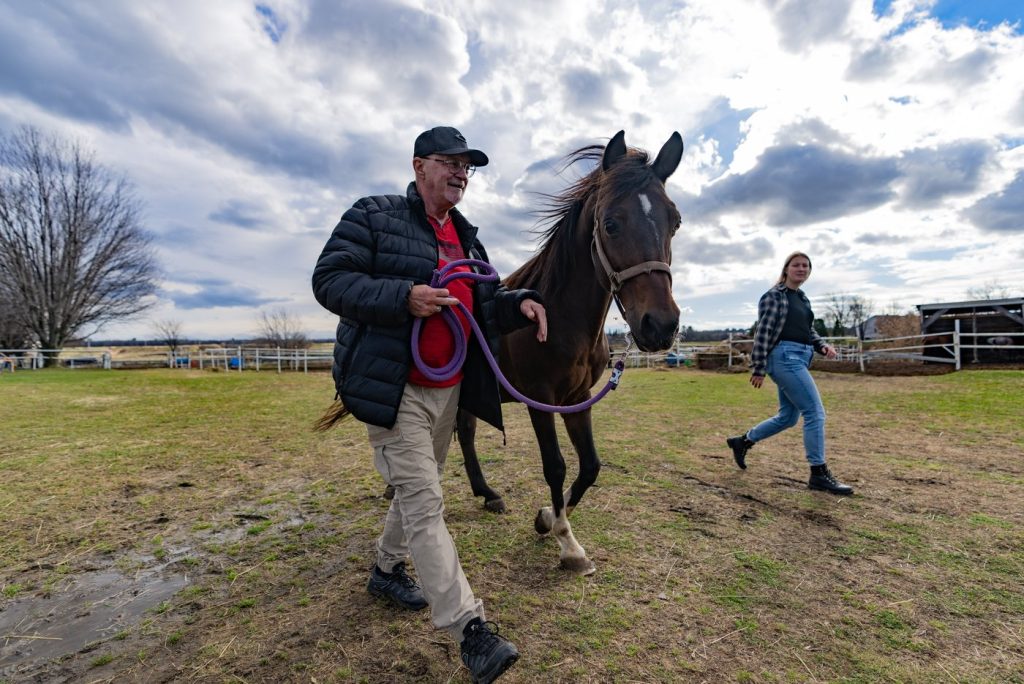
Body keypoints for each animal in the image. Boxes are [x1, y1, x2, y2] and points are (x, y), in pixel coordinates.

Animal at [454, 129, 679, 573]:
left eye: (675, 222)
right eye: (610, 223)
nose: (660, 326)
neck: (558, 314)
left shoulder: (578, 398)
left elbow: (590, 465)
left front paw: (545, 519)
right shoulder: (539, 399)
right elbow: (555, 465)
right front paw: (567, 544)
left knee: (465, 433)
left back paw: (487, 494)